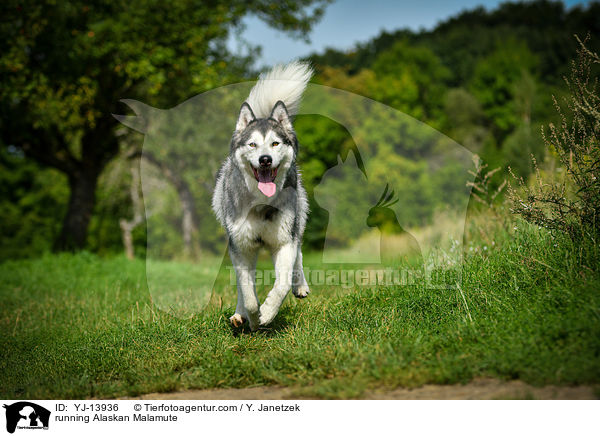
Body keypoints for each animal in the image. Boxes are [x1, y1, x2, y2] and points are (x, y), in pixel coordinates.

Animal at [211, 62, 312, 330]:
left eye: (275, 144)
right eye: (252, 145)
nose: (265, 159)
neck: (260, 203)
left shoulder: (284, 242)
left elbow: (282, 283)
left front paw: (266, 313)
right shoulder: (241, 246)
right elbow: (246, 289)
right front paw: (252, 316)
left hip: (297, 220)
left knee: (298, 252)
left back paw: (301, 286)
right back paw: (239, 315)